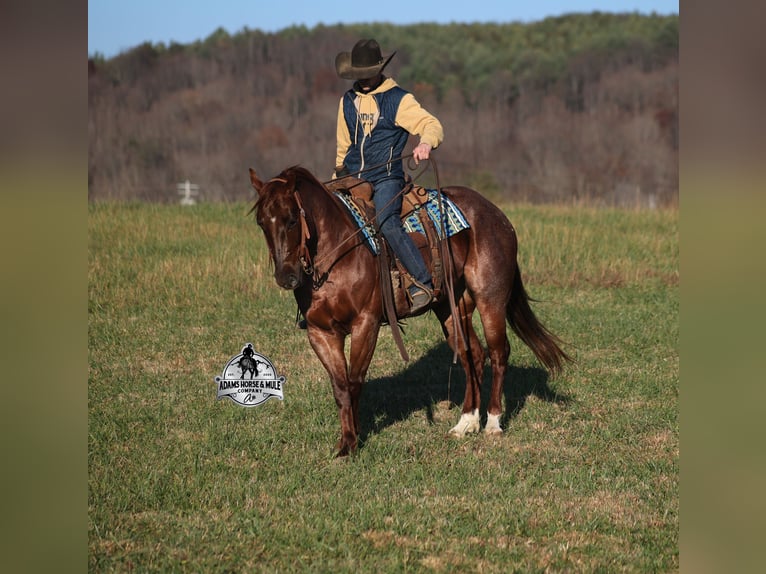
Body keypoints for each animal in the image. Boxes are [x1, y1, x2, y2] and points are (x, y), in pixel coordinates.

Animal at [249, 165, 571, 456]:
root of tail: (497, 215)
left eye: (292, 220)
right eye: (262, 223)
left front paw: (354, 441)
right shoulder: (321, 333)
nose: (286, 277)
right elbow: (340, 387)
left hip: (490, 298)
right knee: (473, 356)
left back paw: (492, 424)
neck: (336, 253)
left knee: (498, 352)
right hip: (452, 308)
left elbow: (354, 382)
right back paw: (465, 423)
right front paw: (345, 442)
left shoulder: (365, 324)